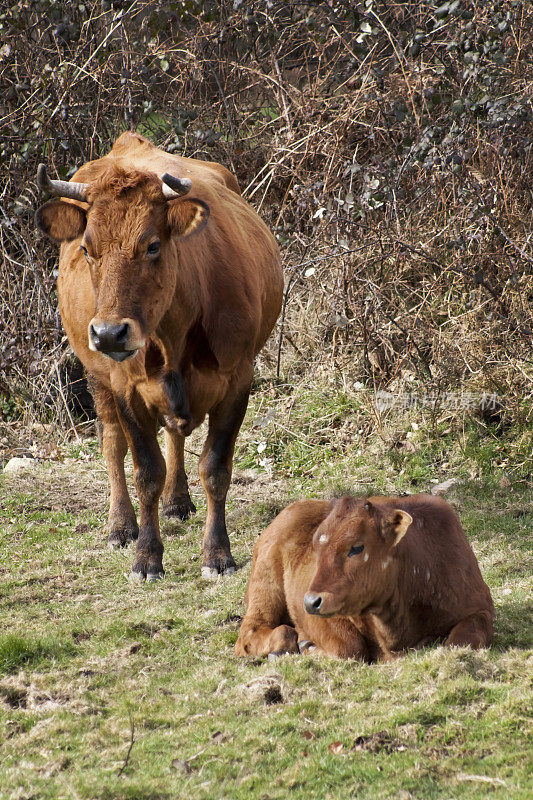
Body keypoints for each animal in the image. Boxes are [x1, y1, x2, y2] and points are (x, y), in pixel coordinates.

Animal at [34, 133, 282, 580]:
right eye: (87, 249)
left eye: (152, 245)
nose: (109, 332)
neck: (172, 336)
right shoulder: (126, 387)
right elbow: (146, 471)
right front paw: (147, 557)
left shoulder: (238, 379)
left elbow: (215, 468)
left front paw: (217, 554)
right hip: (96, 376)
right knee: (112, 443)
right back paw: (121, 526)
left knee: (174, 434)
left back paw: (177, 501)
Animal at [235, 494, 492, 664]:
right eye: (316, 548)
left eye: (357, 547)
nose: (310, 602)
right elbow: (350, 649)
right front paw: (307, 645)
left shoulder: (480, 606)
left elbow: (461, 640)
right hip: (265, 586)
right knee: (253, 633)